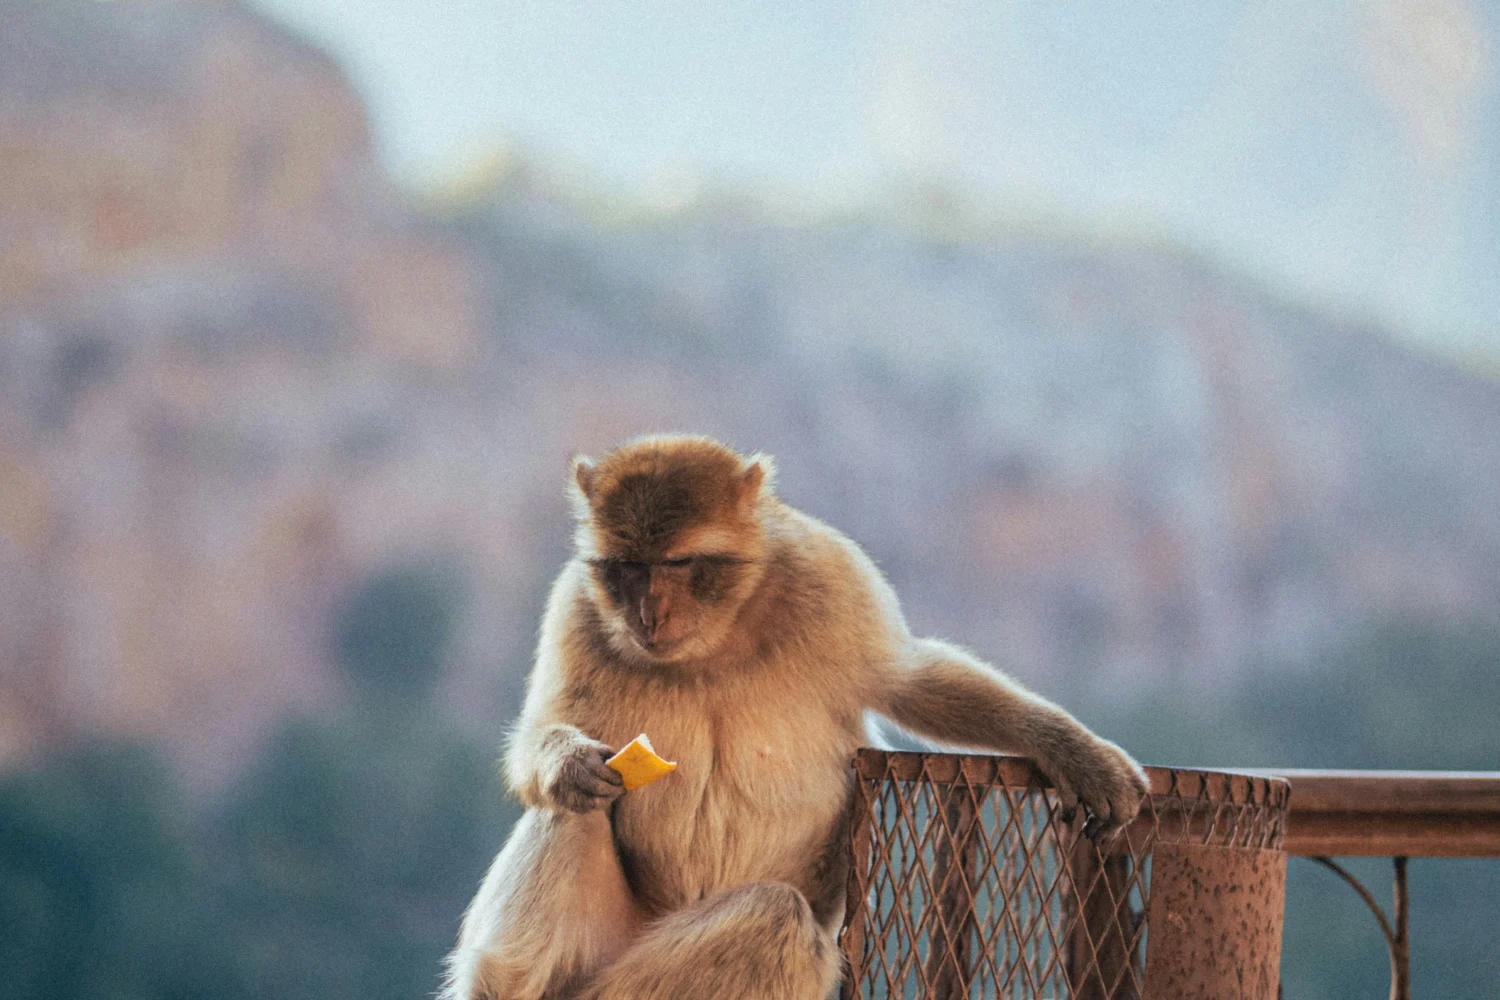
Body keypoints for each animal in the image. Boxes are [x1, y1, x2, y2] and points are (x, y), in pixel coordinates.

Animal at [443, 434, 1147, 1000]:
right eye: (629, 568)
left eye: (677, 563)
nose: (649, 614)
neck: (717, 635)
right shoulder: (577, 607)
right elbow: (548, 729)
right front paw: (570, 763)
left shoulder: (832, 577)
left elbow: (911, 679)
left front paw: (1075, 752)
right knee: (574, 814)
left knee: (777, 918)